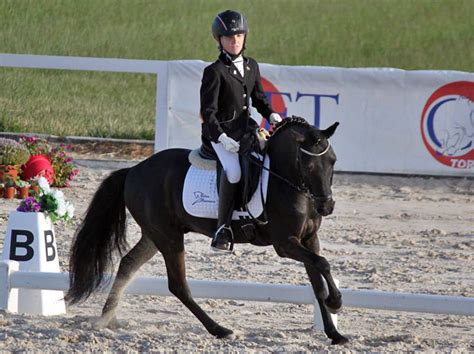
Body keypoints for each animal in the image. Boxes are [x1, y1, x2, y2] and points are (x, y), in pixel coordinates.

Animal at [65, 117, 348, 344]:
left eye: (333, 161)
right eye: (309, 166)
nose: (326, 206)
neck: (285, 180)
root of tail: (134, 170)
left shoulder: (308, 239)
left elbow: (317, 281)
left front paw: (335, 333)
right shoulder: (285, 243)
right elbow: (323, 264)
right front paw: (336, 302)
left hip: (154, 235)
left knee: (128, 264)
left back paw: (106, 319)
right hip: (168, 237)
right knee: (178, 285)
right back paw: (220, 330)